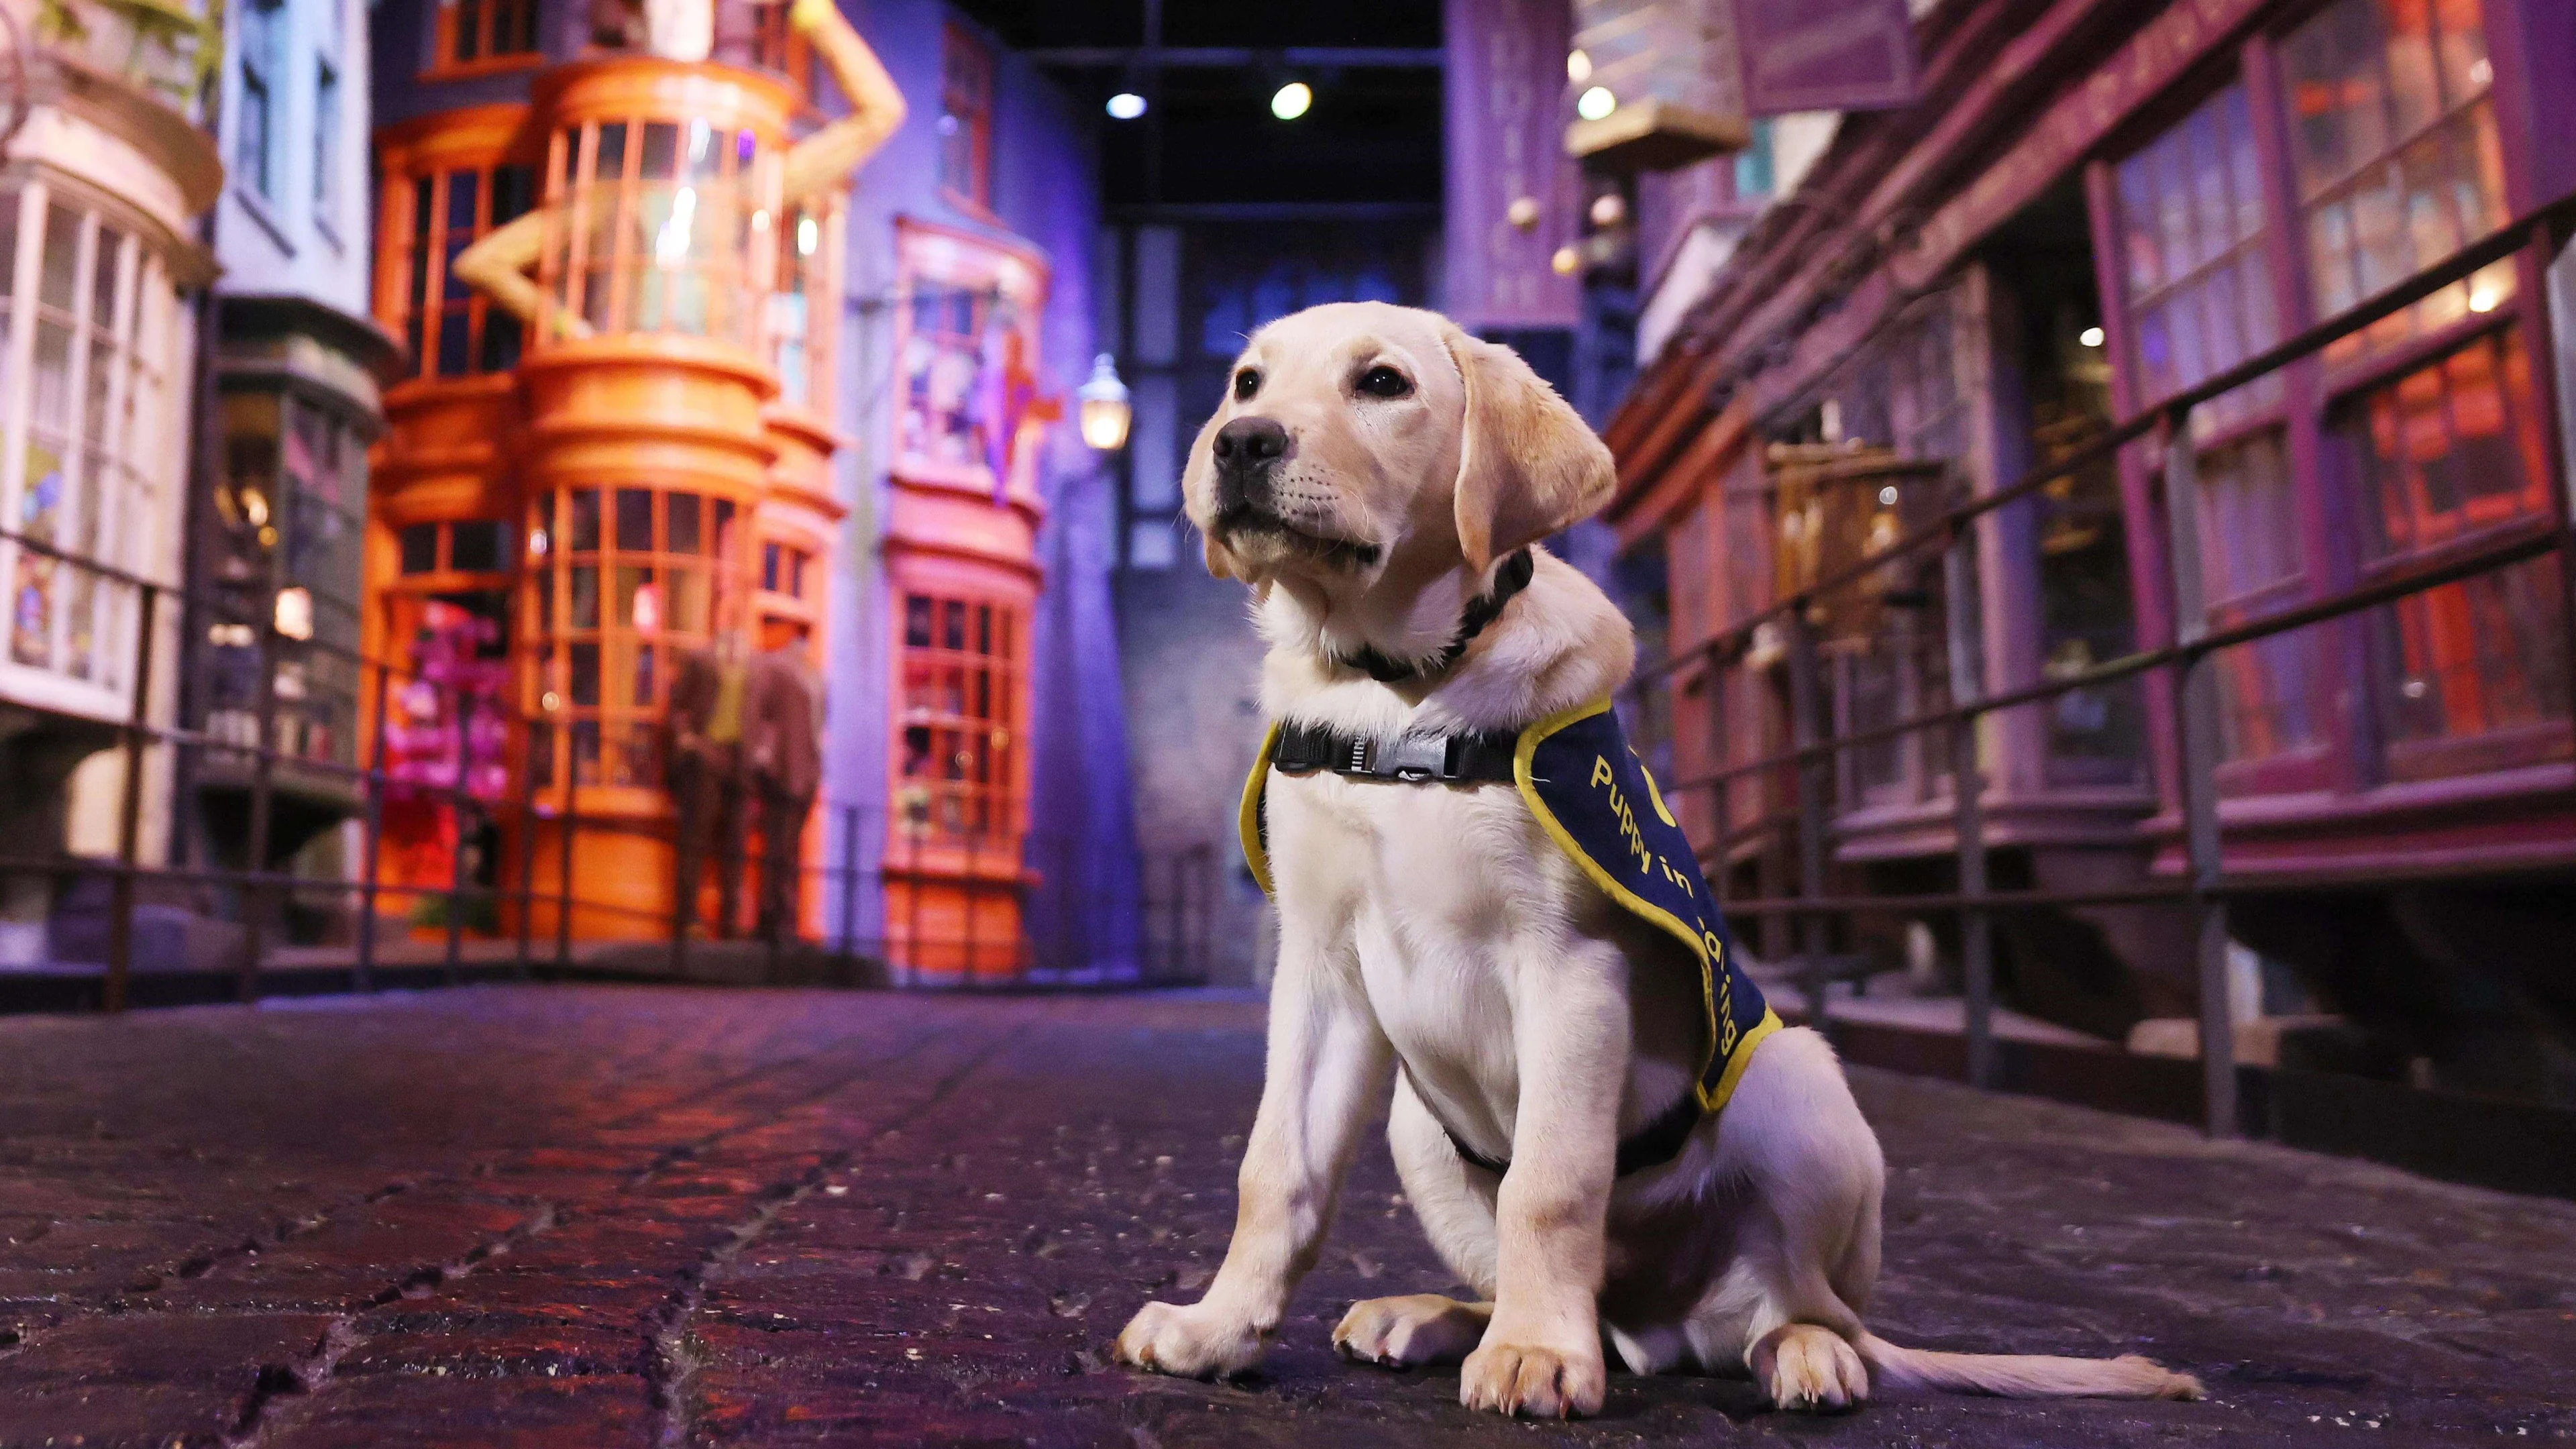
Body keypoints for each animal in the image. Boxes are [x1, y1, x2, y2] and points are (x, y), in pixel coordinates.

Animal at [1118, 299, 2205, 1413]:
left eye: (1382, 384)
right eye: (1247, 383)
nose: (1242, 443)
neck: (1395, 696)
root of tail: (1661, 1324)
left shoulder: (1572, 969)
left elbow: (1552, 1184)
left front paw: (1536, 1354)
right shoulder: (1321, 970)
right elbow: (1275, 1170)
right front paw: (1218, 1329)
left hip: (1799, 1084)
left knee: (1804, 1308)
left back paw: (1795, 1353)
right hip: (1420, 1131)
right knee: (1574, 1288)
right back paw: (1443, 1318)